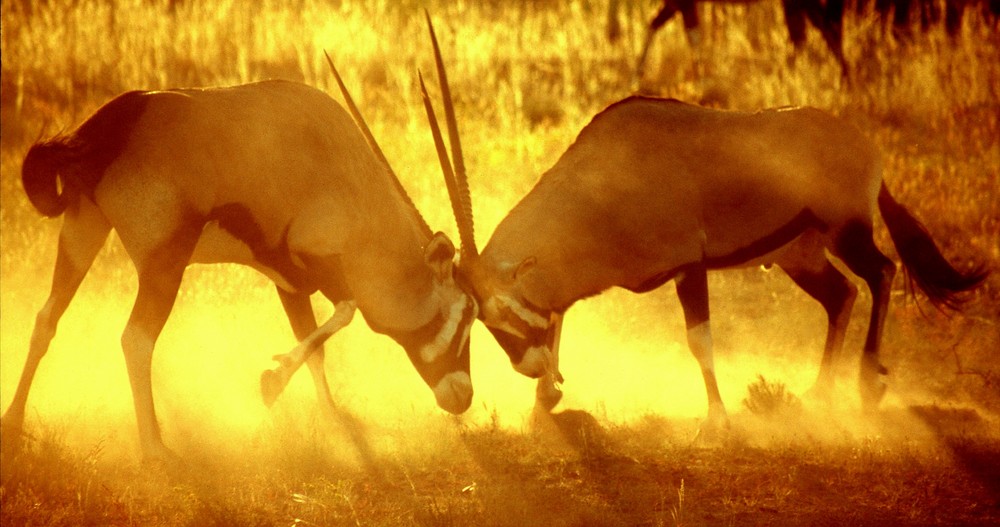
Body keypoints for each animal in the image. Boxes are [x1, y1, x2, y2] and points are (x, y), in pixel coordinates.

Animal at [1, 53, 476, 460]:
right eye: (467, 311)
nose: (464, 395)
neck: (351, 180)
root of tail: (106, 127)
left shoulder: (289, 283)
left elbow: (317, 347)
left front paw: (333, 419)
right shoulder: (313, 262)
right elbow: (346, 311)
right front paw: (271, 383)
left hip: (83, 228)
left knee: (46, 319)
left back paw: (14, 424)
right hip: (162, 263)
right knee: (136, 340)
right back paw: (156, 450)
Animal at [428, 88, 984, 432]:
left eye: (496, 311)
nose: (528, 368)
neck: (598, 191)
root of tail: (864, 144)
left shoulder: (688, 268)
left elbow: (699, 340)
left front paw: (717, 419)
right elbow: (559, 313)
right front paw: (545, 402)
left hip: (847, 234)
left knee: (881, 273)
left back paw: (868, 384)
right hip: (800, 257)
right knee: (841, 294)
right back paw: (820, 393)